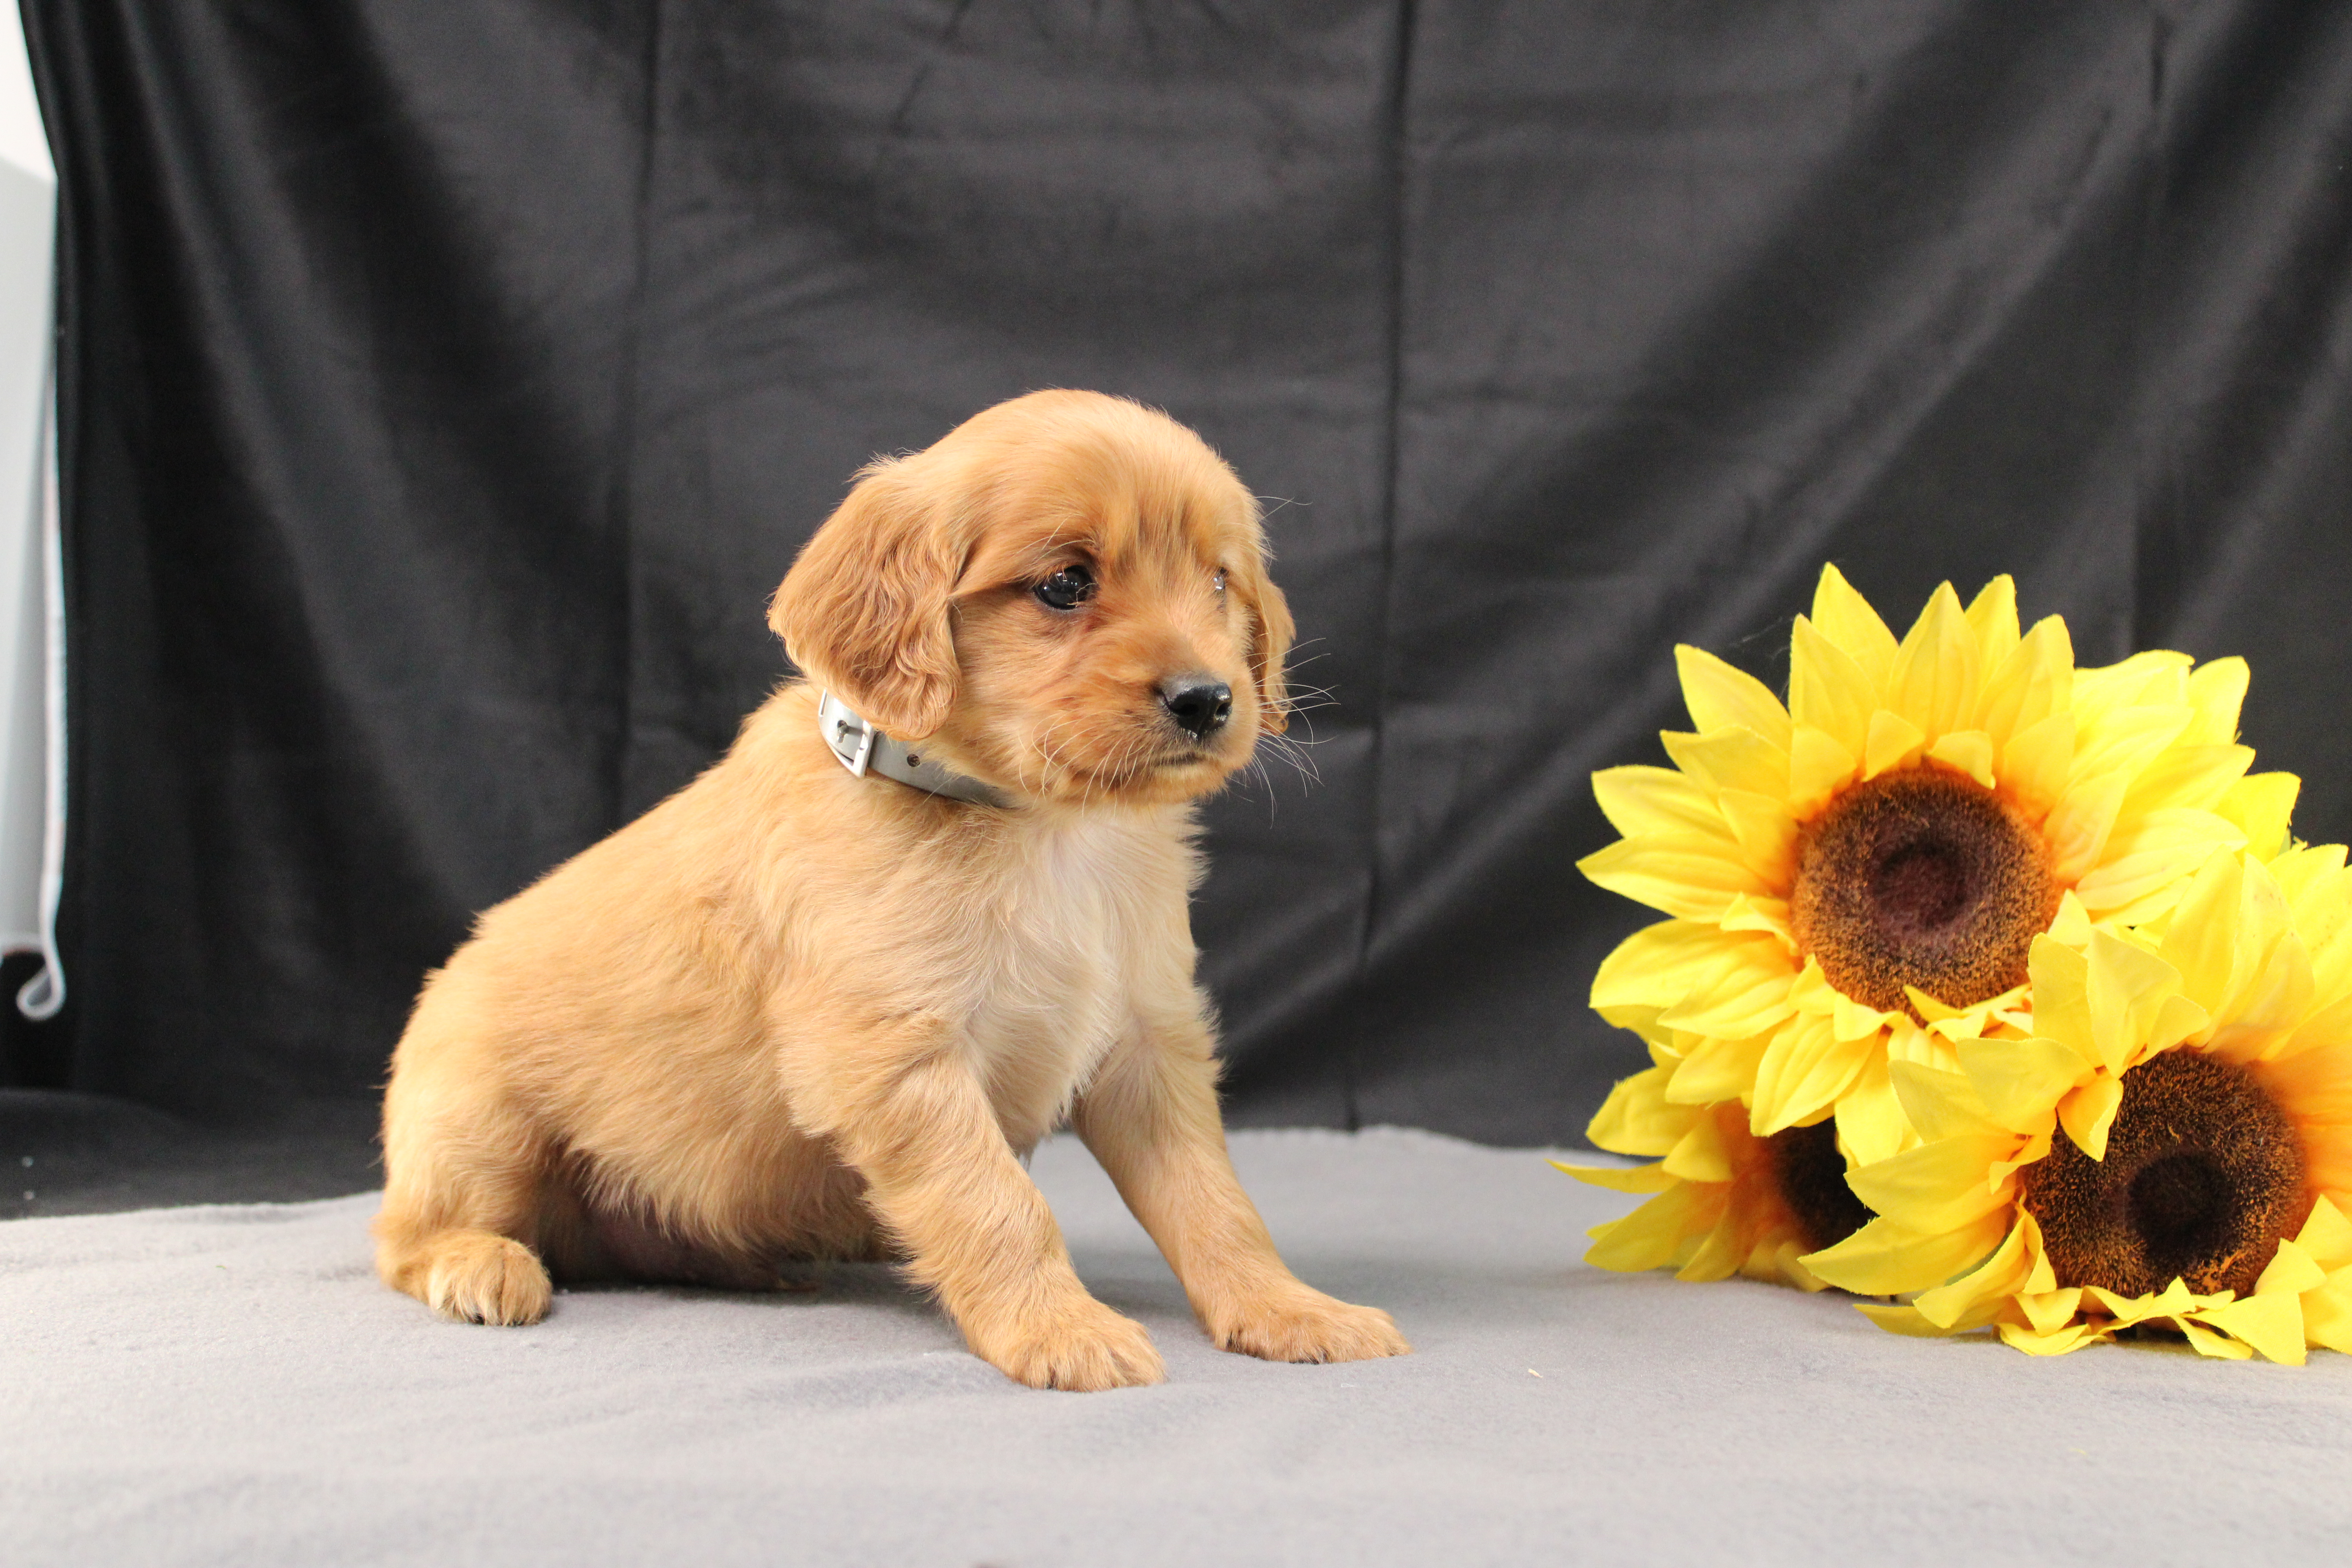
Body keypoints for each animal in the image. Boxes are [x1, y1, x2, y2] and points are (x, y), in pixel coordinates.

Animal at [374, 390, 1402, 1382]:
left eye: (1219, 581)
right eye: (1066, 584)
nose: (1207, 699)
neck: (1043, 829)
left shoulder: (1148, 1045)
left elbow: (1215, 1199)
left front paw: (1288, 1308)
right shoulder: (895, 1061)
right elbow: (998, 1203)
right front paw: (1060, 1328)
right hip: (476, 1119)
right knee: (401, 1234)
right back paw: (482, 1262)